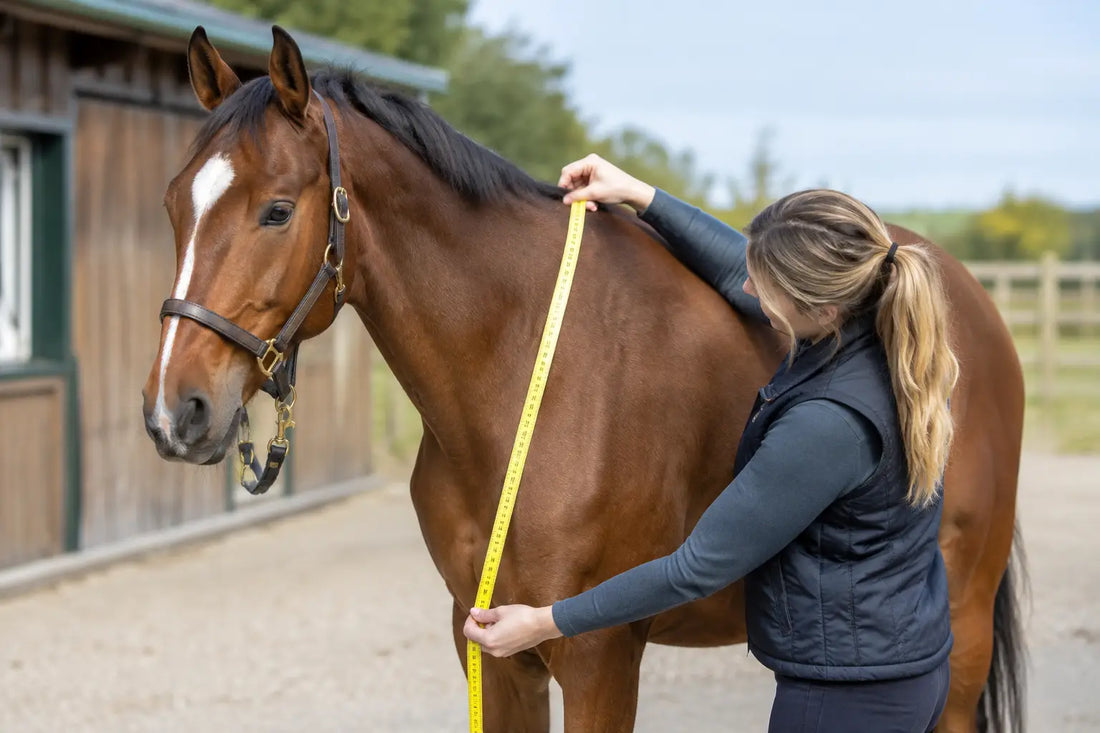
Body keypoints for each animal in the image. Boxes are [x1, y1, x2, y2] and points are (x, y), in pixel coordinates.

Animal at [141, 26, 1026, 732]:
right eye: (173, 201)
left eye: (278, 210)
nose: (175, 411)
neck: (524, 376)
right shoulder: (489, 645)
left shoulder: (599, 655)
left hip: (961, 633)